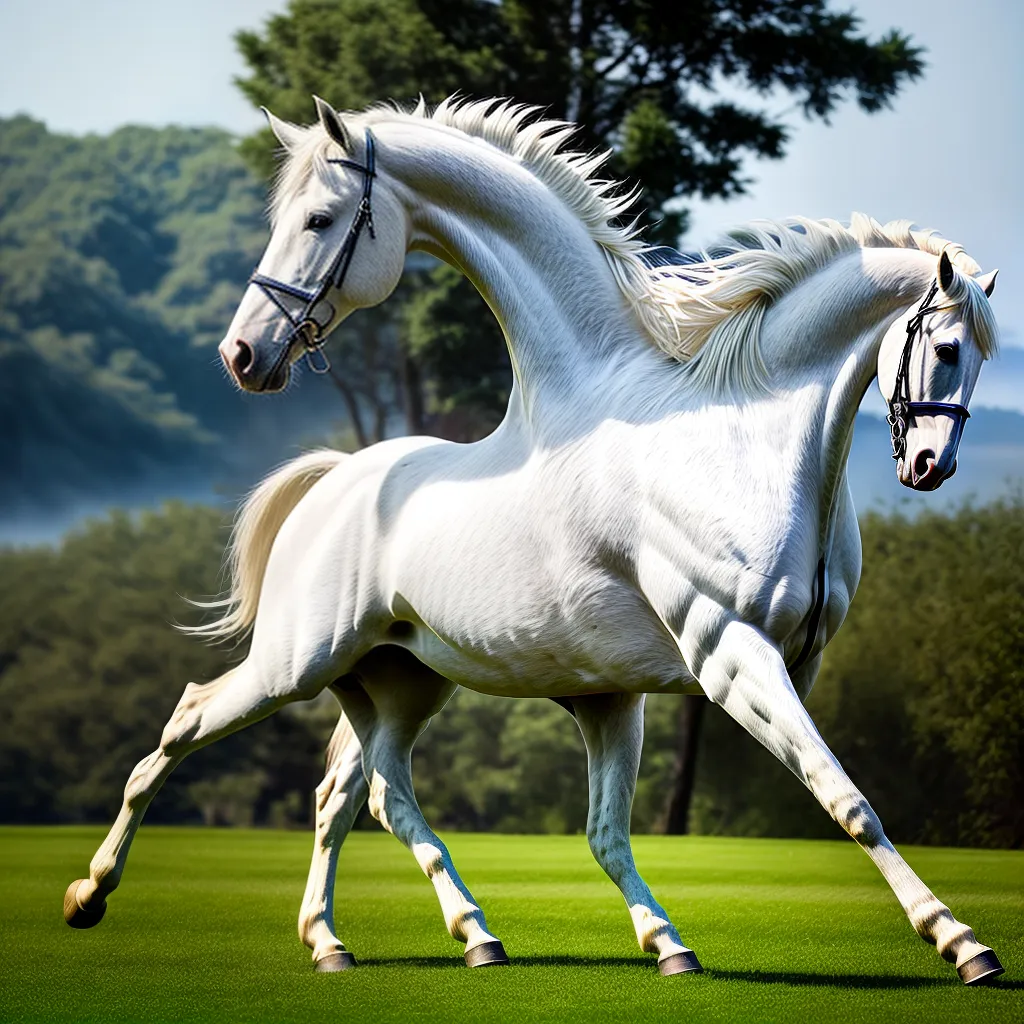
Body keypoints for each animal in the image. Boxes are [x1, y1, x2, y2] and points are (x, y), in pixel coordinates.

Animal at [63, 96, 1004, 985]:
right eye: (946, 346)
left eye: (318, 220)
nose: (244, 355)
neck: (746, 439)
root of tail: (334, 483)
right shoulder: (732, 656)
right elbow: (846, 800)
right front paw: (963, 944)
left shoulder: (665, 688)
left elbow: (619, 829)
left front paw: (670, 947)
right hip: (295, 664)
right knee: (191, 723)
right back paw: (90, 895)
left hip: (396, 680)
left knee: (357, 793)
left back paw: (375, 939)